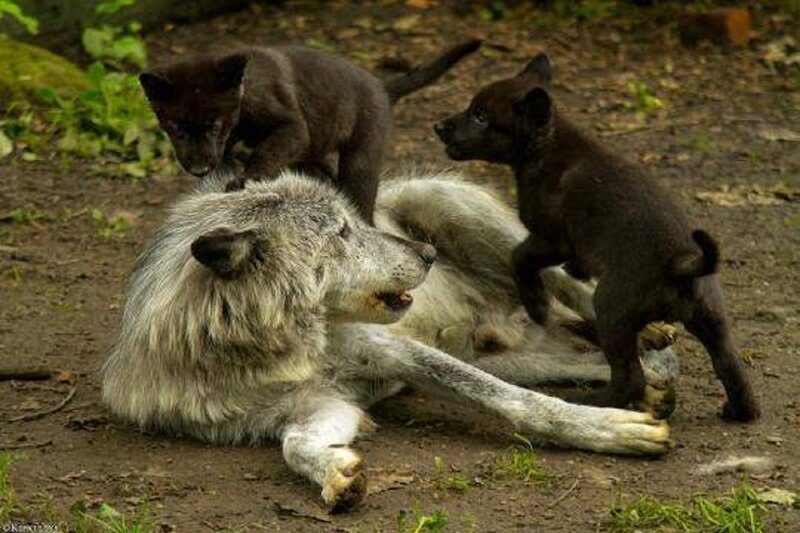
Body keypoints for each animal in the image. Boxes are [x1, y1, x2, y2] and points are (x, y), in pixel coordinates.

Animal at [102, 170, 676, 511]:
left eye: (353, 223)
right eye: (340, 234)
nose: (426, 254)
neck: (278, 353)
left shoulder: (391, 351)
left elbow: (521, 404)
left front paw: (612, 431)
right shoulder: (319, 406)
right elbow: (294, 445)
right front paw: (337, 473)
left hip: (455, 210)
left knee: (568, 285)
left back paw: (646, 333)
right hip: (490, 348)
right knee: (569, 360)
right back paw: (649, 380)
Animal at [139, 40, 481, 221]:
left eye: (214, 125)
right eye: (175, 127)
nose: (199, 168)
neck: (244, 94)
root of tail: (382, 87)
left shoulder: (292, 127)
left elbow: (264, 151)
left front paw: (246, 179)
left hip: (360, 157)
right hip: (314, 157)